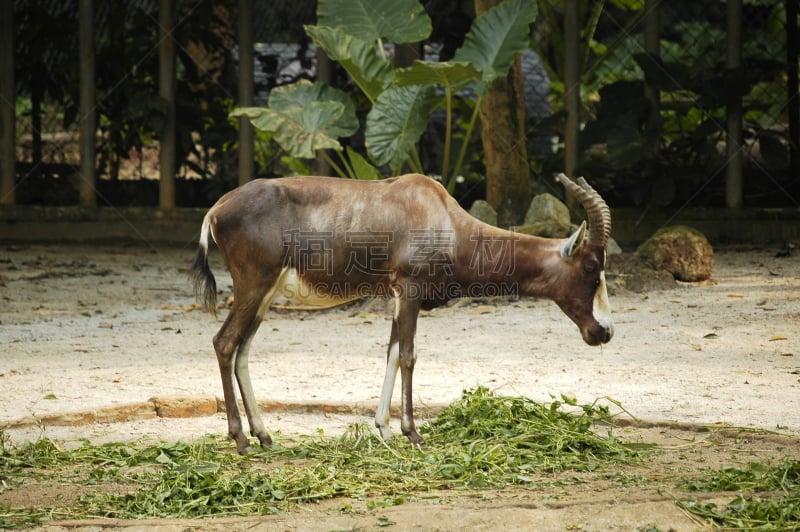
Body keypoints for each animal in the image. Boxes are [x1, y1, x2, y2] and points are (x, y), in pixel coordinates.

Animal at [192, 174, 612, 454]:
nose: (604, 332)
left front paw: (384, 429)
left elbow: (392, 353)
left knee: (242, 350)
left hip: (265, 295)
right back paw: (241, 440)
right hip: (254, 286)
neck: (440, 214)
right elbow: (409, 355)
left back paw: (263, 435)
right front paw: (413, 433)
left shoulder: (396, 297)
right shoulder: (410, 291)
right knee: (225, 342)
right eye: (592, 267)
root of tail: (217, 209)